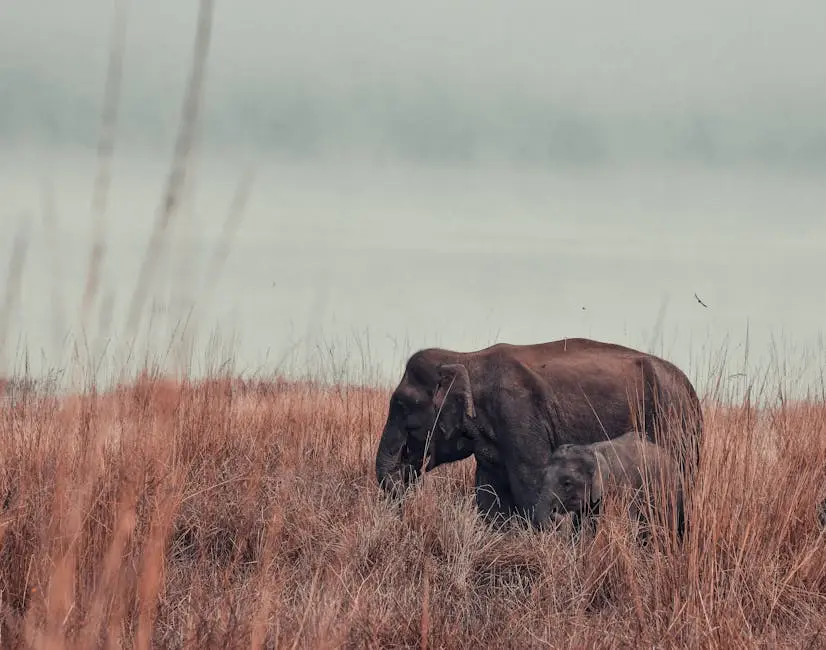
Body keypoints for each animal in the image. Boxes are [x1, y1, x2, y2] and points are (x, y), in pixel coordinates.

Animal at [374, 337, 703, 526]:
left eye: (403, 407)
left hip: (675, 424)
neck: (467, 358)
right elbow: (489, 493)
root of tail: (691, 390)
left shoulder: (518, 415)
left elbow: (530, 485)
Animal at [532, 431, 685, 540]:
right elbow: (579, 525)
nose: (554, 514)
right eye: (543, 476)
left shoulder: (624, 486)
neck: (593, 451)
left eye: (567, 483)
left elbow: (628, 524)